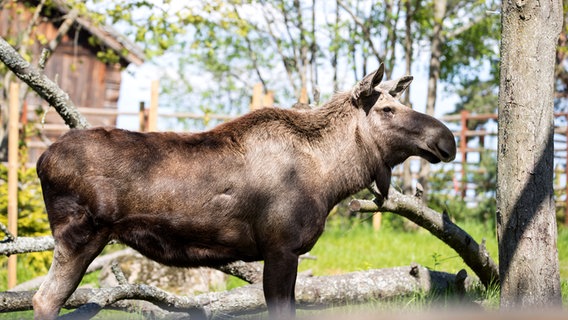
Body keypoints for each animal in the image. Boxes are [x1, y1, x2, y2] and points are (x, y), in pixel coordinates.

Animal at [33, 63, 454, 318]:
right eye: (386, 109)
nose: (446, 139)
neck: (331, 177)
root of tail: (41, 160)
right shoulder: (281, 247)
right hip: (80, 235)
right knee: (44, 299)